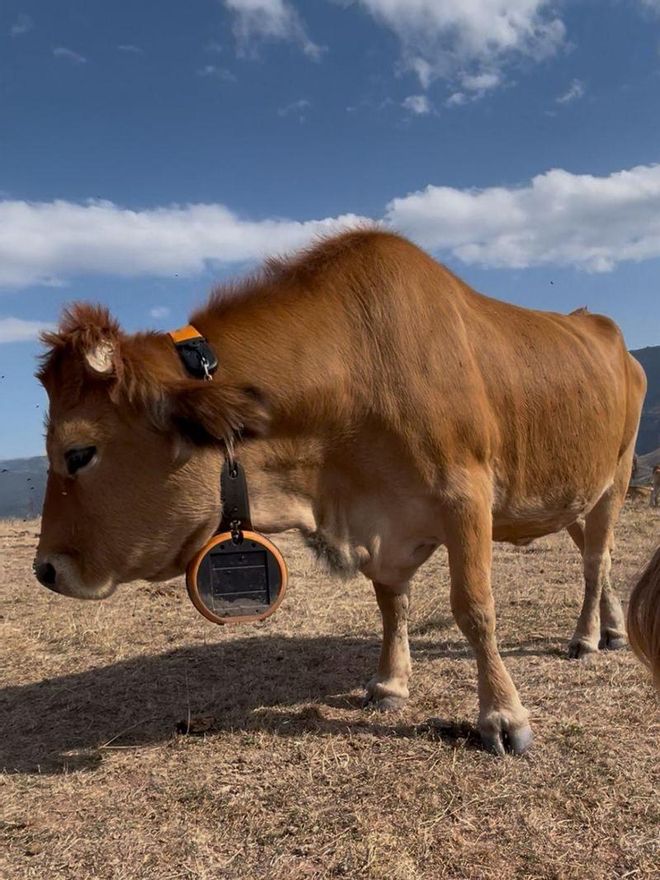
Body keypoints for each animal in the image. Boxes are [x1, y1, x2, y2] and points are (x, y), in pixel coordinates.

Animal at [34, 230, 647, 756]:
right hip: (575, 490)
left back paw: (586, 637)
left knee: (595, 559)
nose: (46, 569)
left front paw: (502, 715)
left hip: (615, 477)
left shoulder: (465, 497)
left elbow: (474, 608)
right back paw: (614, 628)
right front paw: (391, 682)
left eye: (78, 453)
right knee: (602, 555)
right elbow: (391, 605)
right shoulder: (382, 523)